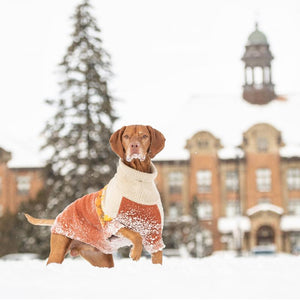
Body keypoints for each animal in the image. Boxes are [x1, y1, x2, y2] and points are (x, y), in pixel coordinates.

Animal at [25, 124, 166, 268]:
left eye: (144, 136)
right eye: (126, 136)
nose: (134, 145)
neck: (138, 180)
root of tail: (59, 216)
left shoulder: (154, 235)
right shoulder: (110, 223)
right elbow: (136, 235)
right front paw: (135, 253)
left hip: (101, 260)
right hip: (57, 251)